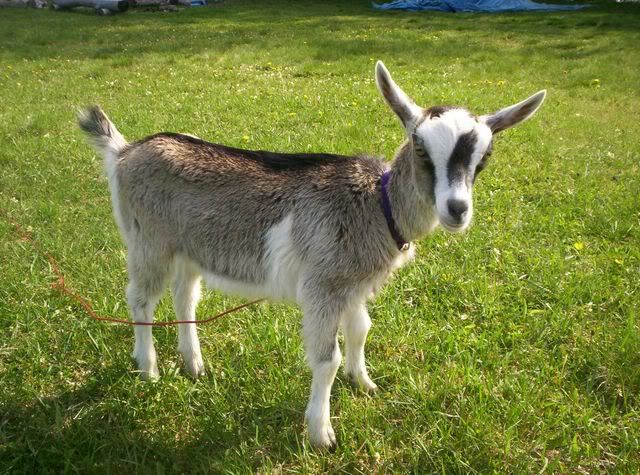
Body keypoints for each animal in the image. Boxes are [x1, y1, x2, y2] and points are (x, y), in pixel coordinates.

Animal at [78, 61, 545, 449]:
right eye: (420, 148)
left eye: (485, 156)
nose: (456, 209)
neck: (376, 204)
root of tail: (124, 152)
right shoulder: (323, 285)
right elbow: (326, 359)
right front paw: (322, 433)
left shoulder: (353, 284)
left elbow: (360, 330)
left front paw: (365, 383)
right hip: (149, 241)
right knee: (141, 300)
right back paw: (149, 369)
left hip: (188, 247)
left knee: (184, 295)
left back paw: (194, 364)